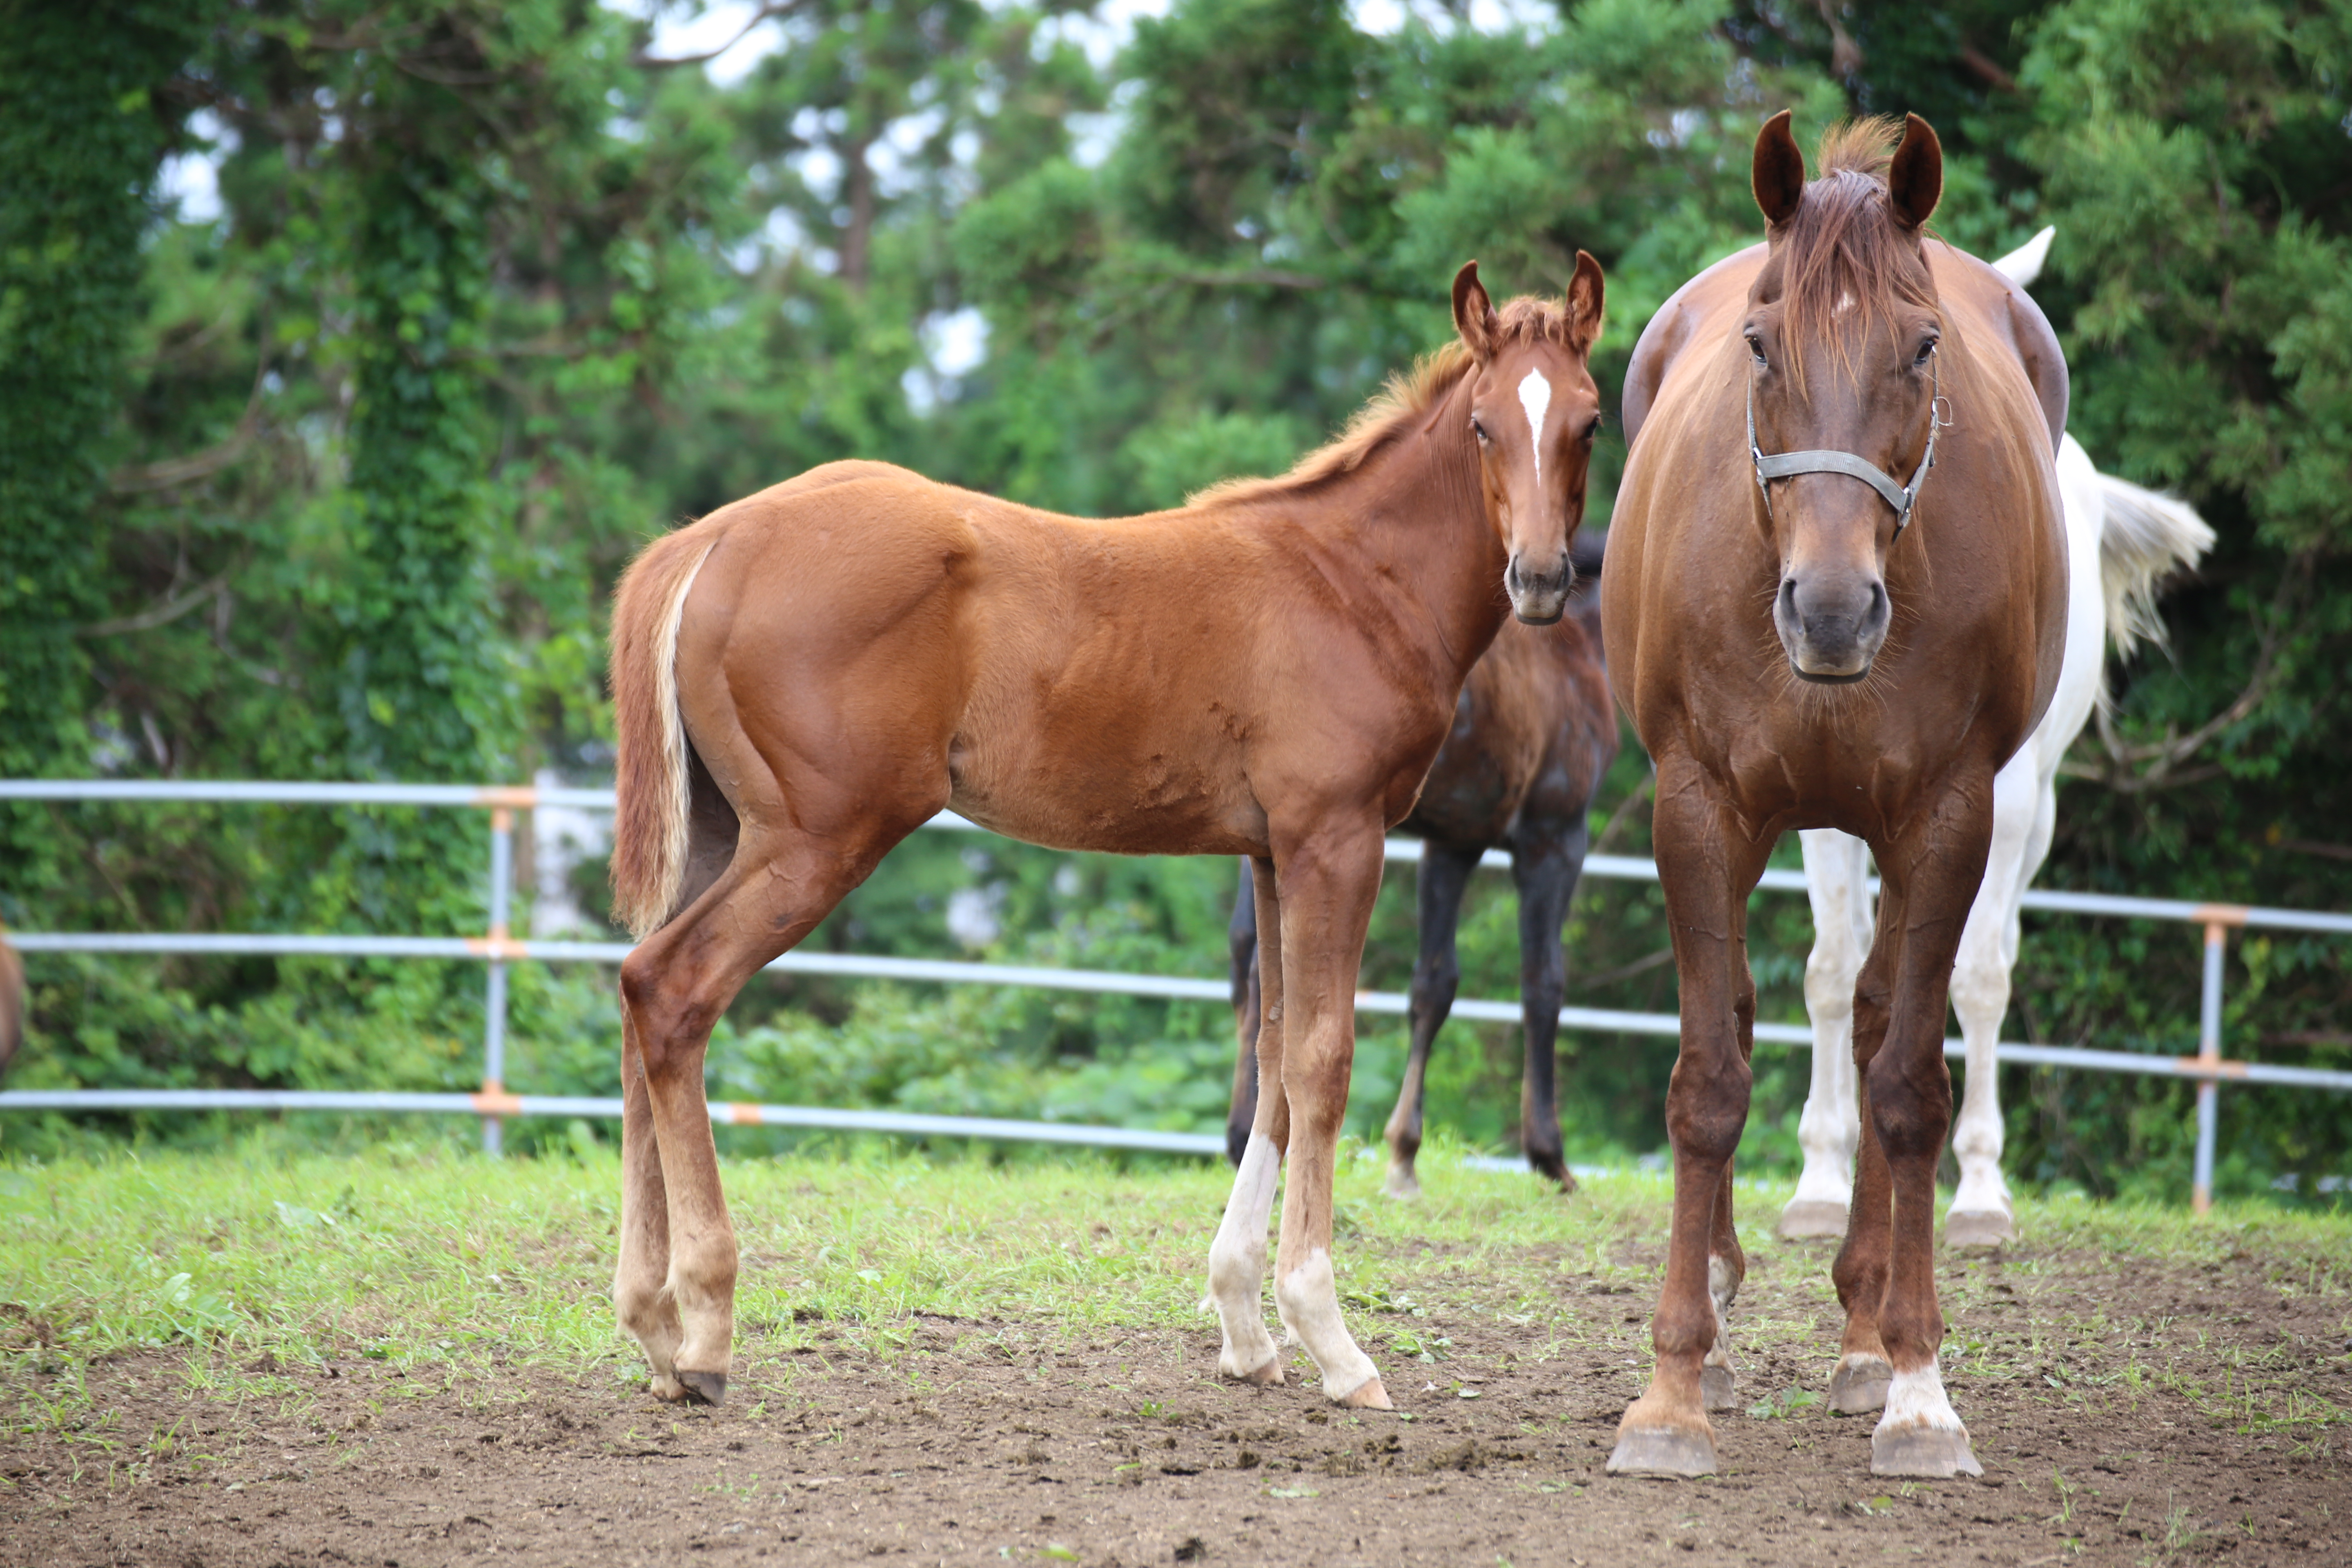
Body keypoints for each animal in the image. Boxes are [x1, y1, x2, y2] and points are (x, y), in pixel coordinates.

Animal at [1232, 524, 1618, 1189]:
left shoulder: (1453, 843)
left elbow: (1433, 984)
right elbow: (1542, 983)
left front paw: (1403, 1151)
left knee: (1248, 963)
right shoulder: (1554, 836)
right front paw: (1548, 1154)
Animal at [1599, 116, 2079, 1476]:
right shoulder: (1697, 808)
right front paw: (1672, 1385)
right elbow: (1708, 1079)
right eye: (1762, 345)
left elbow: (1909, 1087)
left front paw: (1917, 1383)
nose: (1828, 609)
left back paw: (1868, 1331)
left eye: (1921, 347)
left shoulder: (1952, 819)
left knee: (1872, 1029)